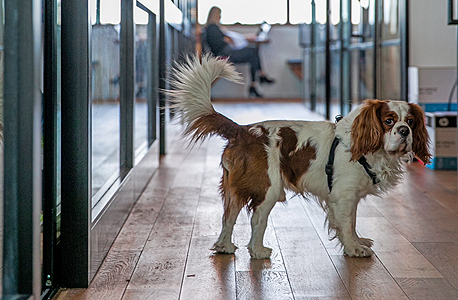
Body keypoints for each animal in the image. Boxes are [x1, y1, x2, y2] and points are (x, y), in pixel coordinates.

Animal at [167, 55, 430, 258]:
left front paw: (357, 241)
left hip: (235, 188)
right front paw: (353, 249)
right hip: (268, 187)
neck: (368, 149)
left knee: (228, 217)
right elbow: (347, 224)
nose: (404, 131)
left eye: (410, 122)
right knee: (256, 221)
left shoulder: (349, 197)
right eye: (389, 121)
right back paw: (258, 251)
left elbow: (352, 222)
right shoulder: (343, 196)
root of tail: (242, 129)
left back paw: (225, 247)